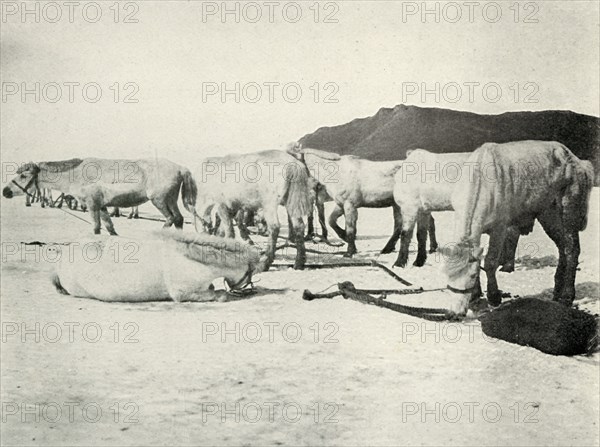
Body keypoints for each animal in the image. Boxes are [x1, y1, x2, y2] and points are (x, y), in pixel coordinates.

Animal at [4, 158, 197, 234]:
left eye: (23, 176)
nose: (5, 191)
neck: (77, 174)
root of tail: (181, 168)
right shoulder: (102, 206)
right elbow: (110, 228)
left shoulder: (92, 205)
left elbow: (96, 228)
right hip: (170, 200)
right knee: (179, 219)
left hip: (159, 200)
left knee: (171, 218)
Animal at [442, 142, 592, 316]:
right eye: (447, 276)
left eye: (471, 276)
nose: (456, 312)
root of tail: (573, 157)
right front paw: (475, 295)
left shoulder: (499, 228)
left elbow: (490, 261)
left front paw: (494, 296)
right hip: (548, 214)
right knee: (562, 247)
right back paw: (556, 291)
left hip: (569, 211)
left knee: (572, 249)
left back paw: (567, 296)